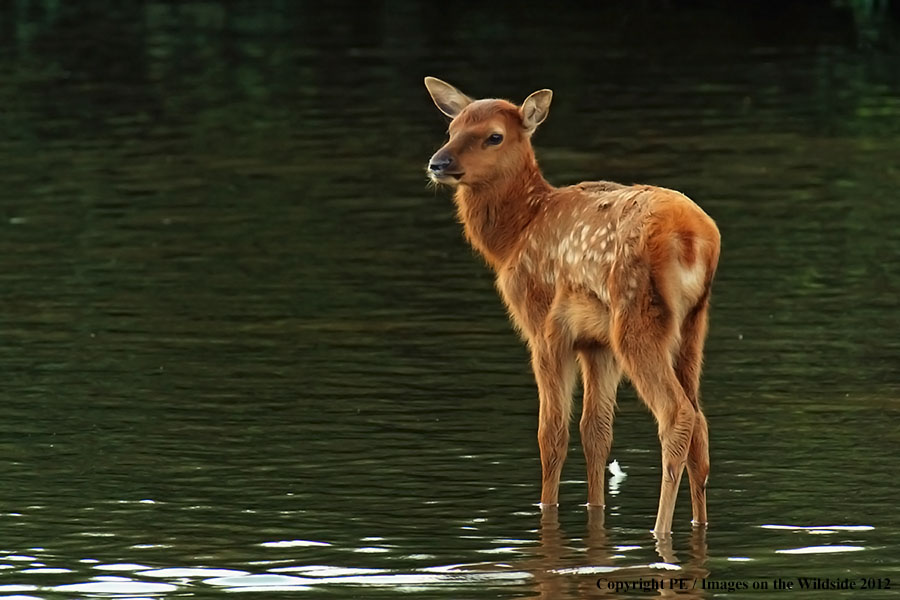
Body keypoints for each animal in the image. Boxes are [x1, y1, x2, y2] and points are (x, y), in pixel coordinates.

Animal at [424, 76, 724, 536]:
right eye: (451, 128)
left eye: (494, 136)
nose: (439, 163)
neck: (515, 235)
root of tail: (693, 239)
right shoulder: (596, 344)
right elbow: (595, 432)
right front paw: (594, 510)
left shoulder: (544, 326)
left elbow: (551, 434)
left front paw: (545, 509)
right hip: (691, 326)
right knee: (701, 422)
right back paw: (698, 522)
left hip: (635, 317)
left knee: (678, 415)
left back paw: (659, 528)